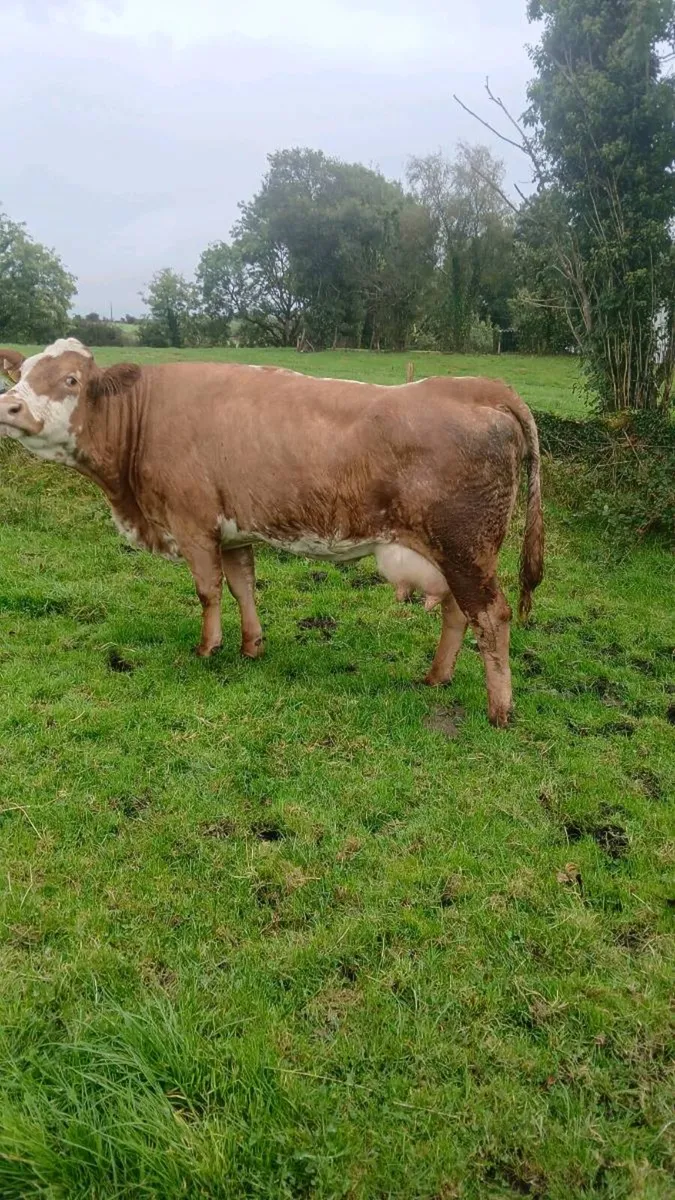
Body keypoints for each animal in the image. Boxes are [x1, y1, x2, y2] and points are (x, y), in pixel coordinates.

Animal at [0, 340, 544, 726]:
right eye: (20, 375)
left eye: (70, 378)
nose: (8, 406)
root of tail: (476, 386)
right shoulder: (234, 531)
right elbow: (243, 586)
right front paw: (251, 646)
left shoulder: (192, 524)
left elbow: (208, 590)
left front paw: (208, 648)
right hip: (453, 554)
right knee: (458, 612)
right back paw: (436, 677)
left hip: (466, 549)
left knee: (491, 616)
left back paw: (499, 711)